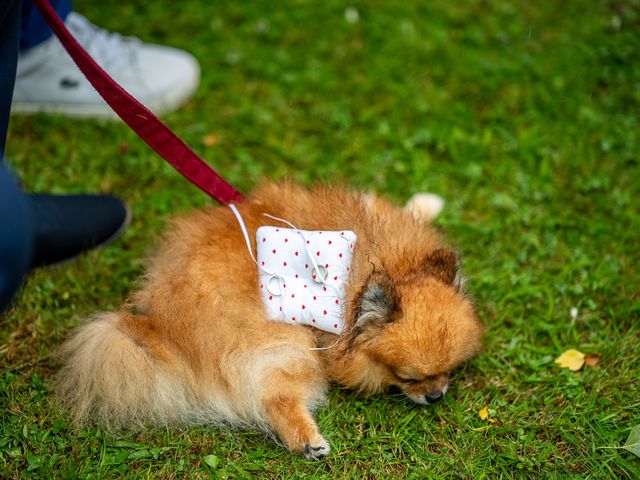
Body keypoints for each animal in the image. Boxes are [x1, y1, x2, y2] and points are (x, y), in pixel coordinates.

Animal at [57, 182, 482, 460]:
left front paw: (425, 203)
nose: (436, 395)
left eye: (449, 371)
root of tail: (159, 326)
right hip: (284, 340)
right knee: (273, 395)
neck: (383, 260)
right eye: (408, 378)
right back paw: (308, 441)